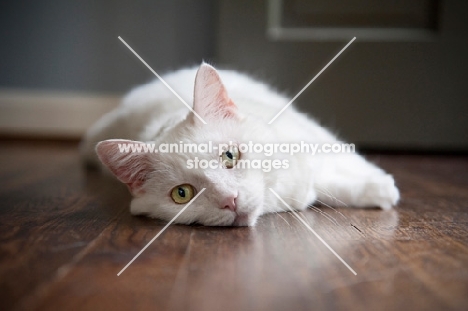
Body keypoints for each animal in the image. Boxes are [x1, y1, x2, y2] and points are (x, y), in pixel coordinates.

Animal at [81, 63, 398, 228]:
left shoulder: (310, 136)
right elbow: (326, 185)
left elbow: (341, 162)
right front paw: (377, 190)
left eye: (230, 155)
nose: (229, 199)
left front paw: (380, 187)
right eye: (182, 194)